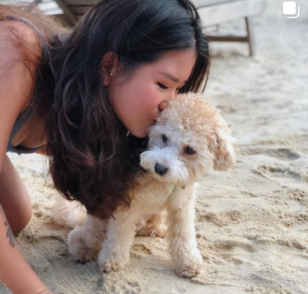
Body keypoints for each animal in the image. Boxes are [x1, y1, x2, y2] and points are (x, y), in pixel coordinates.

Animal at [53, 94, 236, 278]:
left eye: (190, 150)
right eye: (164, 137)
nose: (159, 167)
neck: (162, 182)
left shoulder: (181, 207)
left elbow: (184, 235)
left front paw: (188, 262)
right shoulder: (126, 207)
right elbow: (118, 236)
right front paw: (112, 261)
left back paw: (154, 229)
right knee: (88, 235)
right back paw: (83, 248)